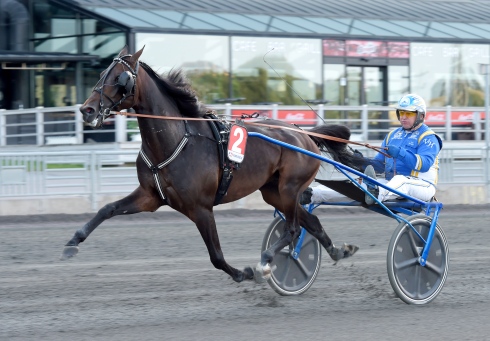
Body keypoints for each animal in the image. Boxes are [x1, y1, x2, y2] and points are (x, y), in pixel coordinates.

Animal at [61, 46, 360, 282]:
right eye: (101, 74)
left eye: (118, 78)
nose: (87, 109)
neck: (175, 141)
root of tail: (304, 133)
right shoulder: (150, 196)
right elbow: (107, 209)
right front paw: (72, 242)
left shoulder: (200, 208)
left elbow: (215, 255)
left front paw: (244, 273)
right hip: (273, 191)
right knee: (311, 221)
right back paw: (337, 250)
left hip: (290, 187)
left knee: (294, 228)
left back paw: (265, 261)